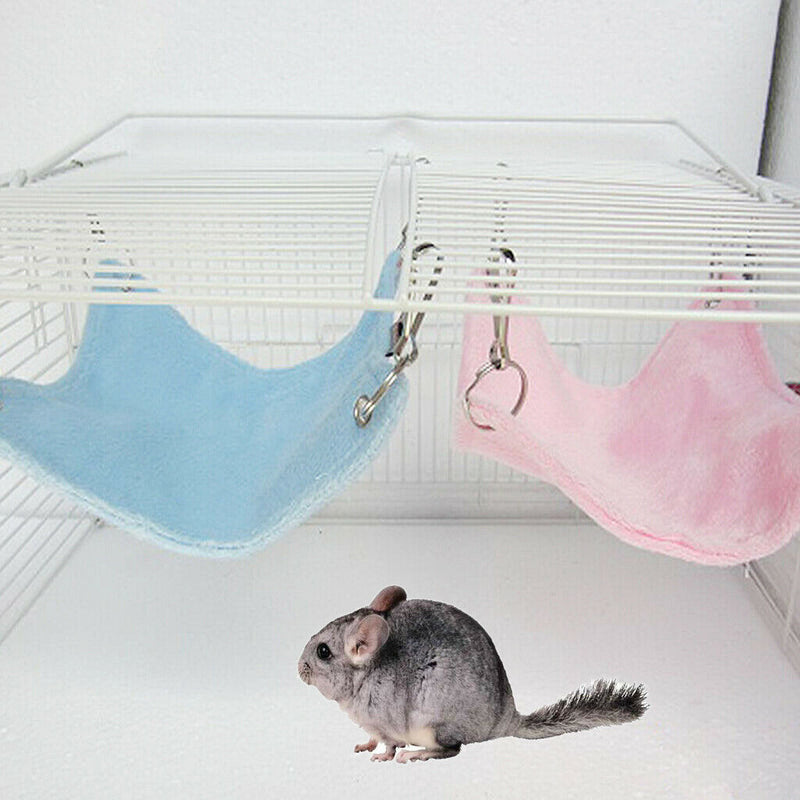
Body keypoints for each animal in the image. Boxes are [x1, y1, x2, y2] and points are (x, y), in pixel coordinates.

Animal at [298, 585, 646, 762]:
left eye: (323, 652)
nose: (299, 668)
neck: (367, 675)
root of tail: (505, 720)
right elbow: (371, 739)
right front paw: (363, 746)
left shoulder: (386, 724)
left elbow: (389, 745)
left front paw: (381, 757)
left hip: (434, 724)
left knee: (452, 749)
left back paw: (418, 755)